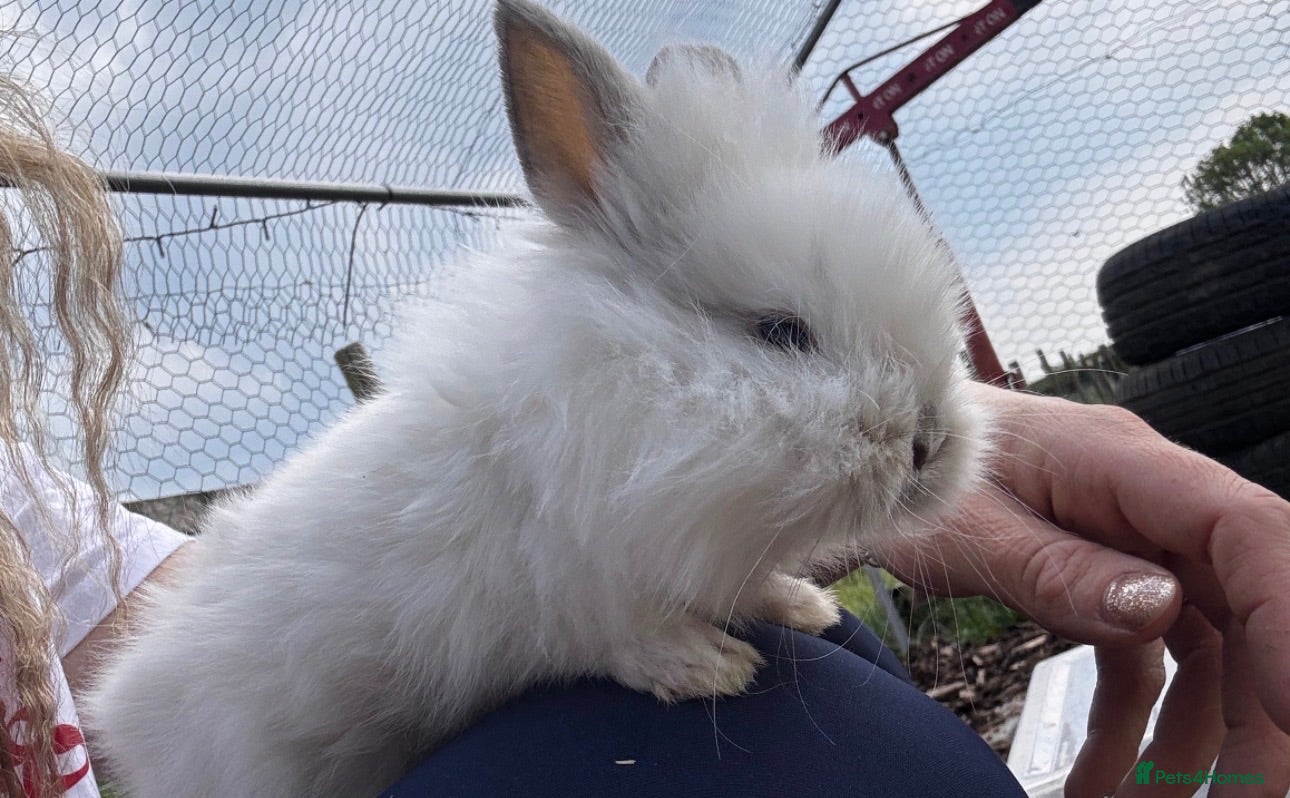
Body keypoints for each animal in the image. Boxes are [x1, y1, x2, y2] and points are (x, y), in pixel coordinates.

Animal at [86, 1, 990, 796]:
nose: (931, 441)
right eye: (780, 331)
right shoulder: (565, 592)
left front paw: (807, 609)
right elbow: (622, 638)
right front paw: (713, 668)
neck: (618, 394)